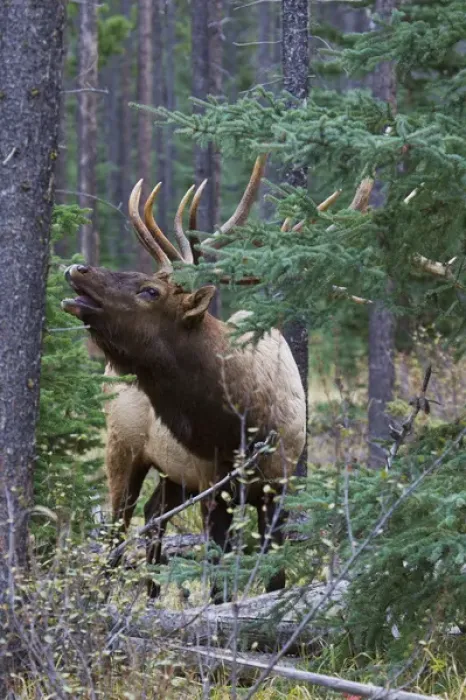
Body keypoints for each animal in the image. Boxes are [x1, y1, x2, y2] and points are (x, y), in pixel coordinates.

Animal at [62, 156, 307, 600]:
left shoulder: (277, 485)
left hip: (174, 473)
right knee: (117, 528)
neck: (244, 425)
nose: (76, 267)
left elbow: (275, 576)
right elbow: (219, 579)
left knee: (151, 514)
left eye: (150, 291)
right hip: (123, 447)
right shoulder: (216, 488)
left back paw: (152, 594)